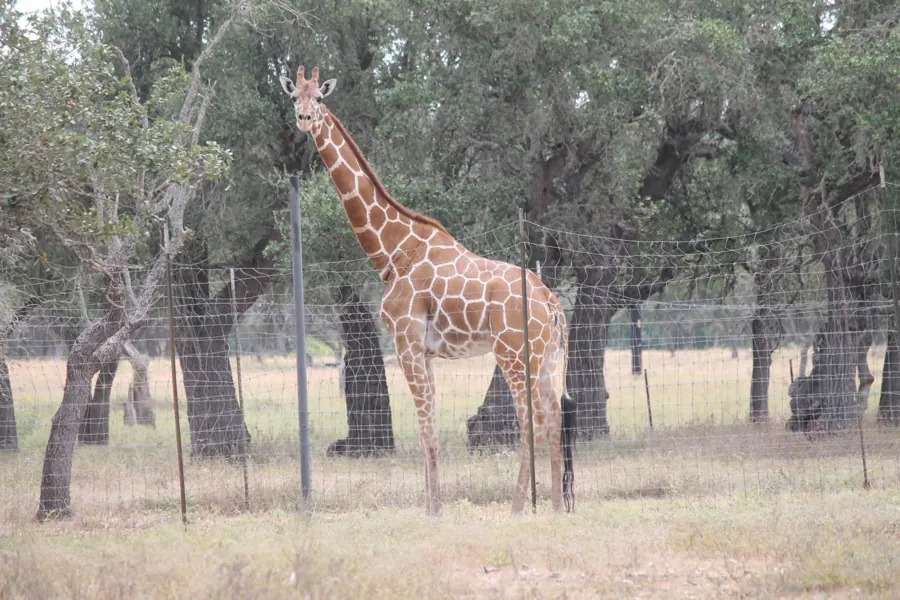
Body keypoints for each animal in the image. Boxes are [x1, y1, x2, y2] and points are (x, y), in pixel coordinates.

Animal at [280, 66, 576, 516]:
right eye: (295, 95)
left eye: (321, 98)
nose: (304, 119)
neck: (392, 251)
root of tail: (553, 304)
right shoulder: (427, 351)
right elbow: (431, 426)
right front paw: (434, 504)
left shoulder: (406, 342)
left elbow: (425, 430)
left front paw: (434, 510)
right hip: (544, 357)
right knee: (554, 417)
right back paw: (557, 507)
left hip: (514, 353)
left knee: (533, 422)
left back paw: (517, 507)